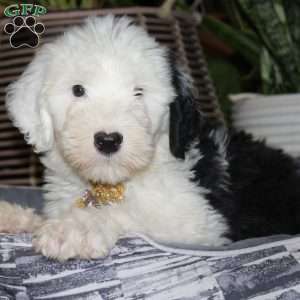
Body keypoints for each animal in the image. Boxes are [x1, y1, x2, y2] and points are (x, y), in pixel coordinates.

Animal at [1, 15, 300, 260]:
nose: (108, 140)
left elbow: (131, 214)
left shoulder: (199, 223)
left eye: (139, 92)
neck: (111, 186)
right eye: (78, 90)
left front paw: (76, 227)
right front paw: (14, 217)